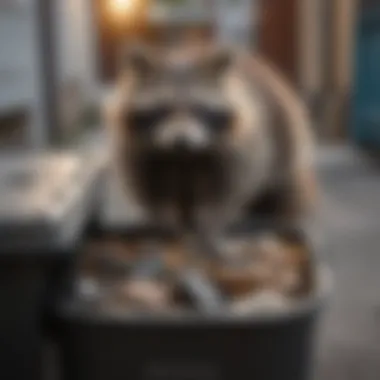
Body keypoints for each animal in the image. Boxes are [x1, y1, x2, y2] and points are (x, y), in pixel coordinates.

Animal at [104, 43, 318, 258]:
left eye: (198, 108)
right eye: (163, 108)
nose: (181, 141)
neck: (183, 157)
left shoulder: (242, 145)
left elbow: (227, 191)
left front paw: (208, 231)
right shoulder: (136, 147)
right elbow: (151, 190)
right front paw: (169, 228)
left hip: (286, 141)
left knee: (285, 189)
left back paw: (273, 221)